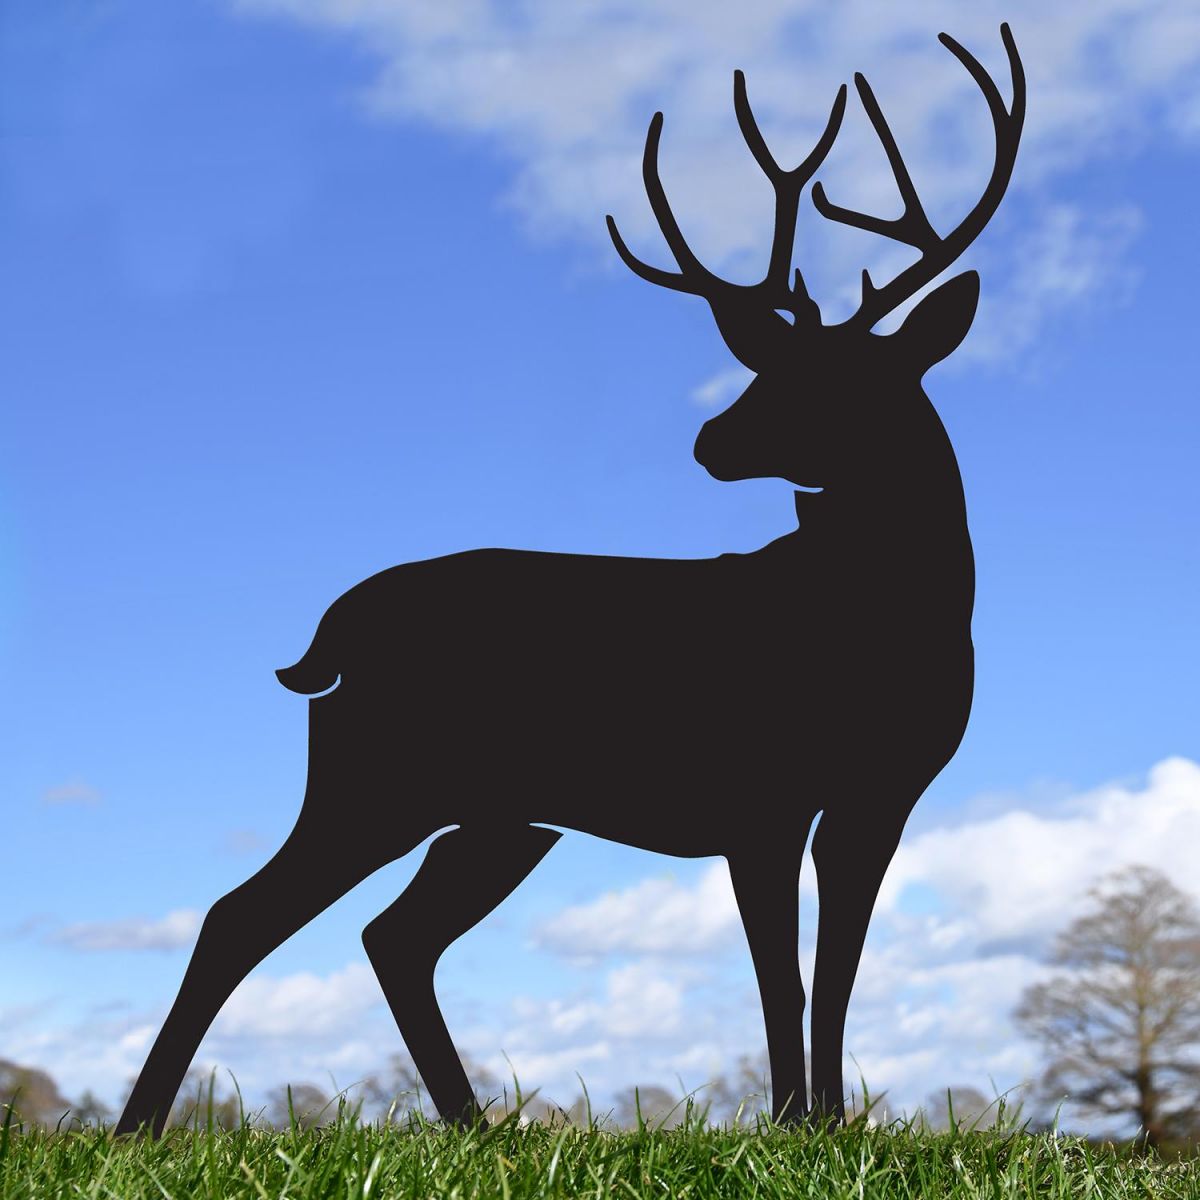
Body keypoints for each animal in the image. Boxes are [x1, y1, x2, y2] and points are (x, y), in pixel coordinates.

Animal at [116, 25, 1024, 1136]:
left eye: (842, 379)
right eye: (766, 365)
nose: (710, 439)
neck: (884, 625)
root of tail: (324, 642)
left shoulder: (882, 796)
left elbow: (840, 966)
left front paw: (828, 1125)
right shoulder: (755, 790)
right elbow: (783, 971)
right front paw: (791, 1127)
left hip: (500, 818)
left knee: (393, 936)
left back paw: (476, 1130)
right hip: (375, 777)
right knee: (239, 915)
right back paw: (135, 1132)